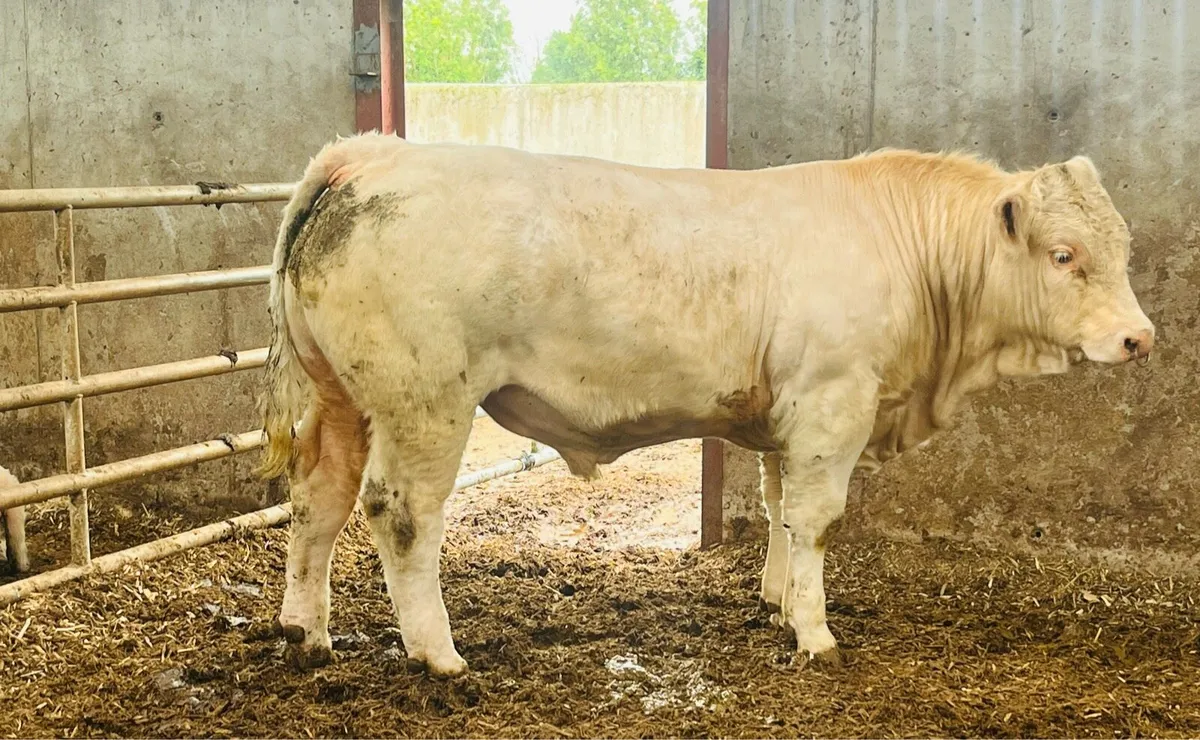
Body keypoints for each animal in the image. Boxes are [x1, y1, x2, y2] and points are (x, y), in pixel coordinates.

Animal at [259, 133, 1154, 676]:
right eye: (1064, 254)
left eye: (1124, 248)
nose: (1138, 339)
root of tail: (369, 157)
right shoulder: (835, 400)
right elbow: (817, 518)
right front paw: (816, 634)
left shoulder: (786, 413)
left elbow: (780, 505)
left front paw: (776, 600)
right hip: (427, 402)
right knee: (400, 511)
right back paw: (438, 654)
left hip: (342, 397)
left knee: (318, 497)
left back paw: (306, 630)